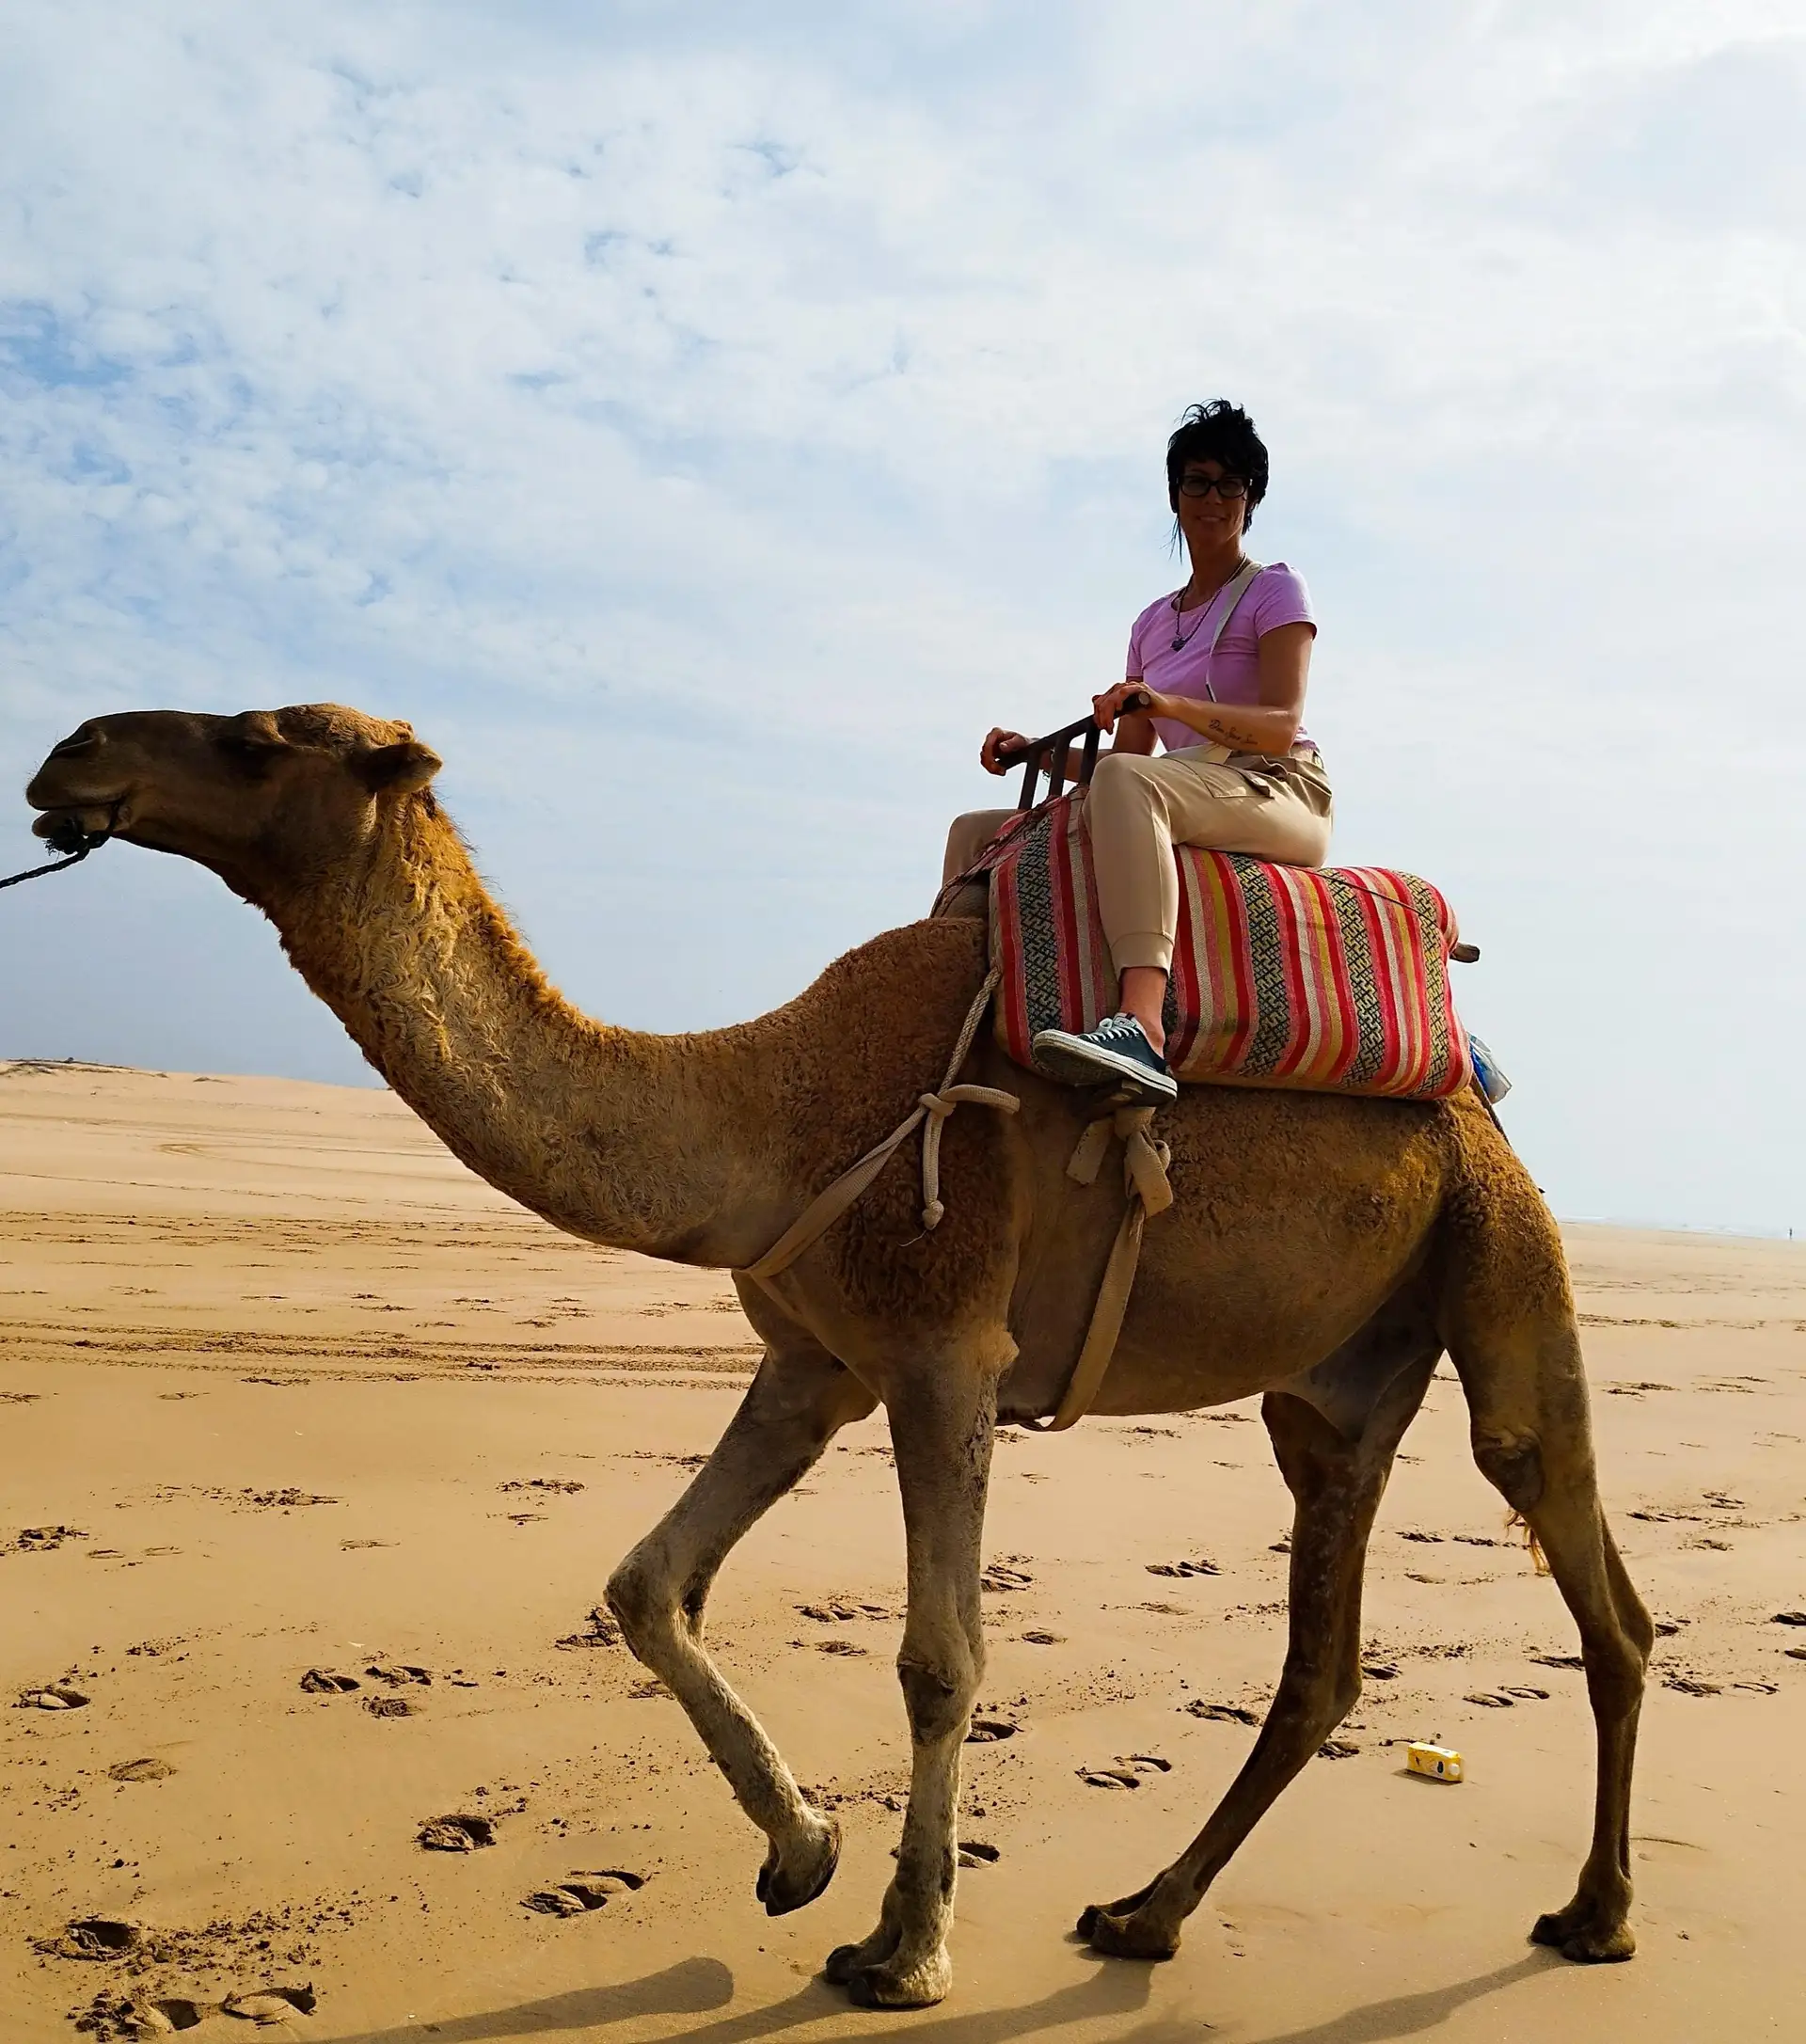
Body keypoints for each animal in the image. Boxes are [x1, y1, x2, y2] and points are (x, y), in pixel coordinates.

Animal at [25, 702, 1652, 2011]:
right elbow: (646, 1582)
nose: (68, 755)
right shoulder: (814, 1362)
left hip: (1498, 1247)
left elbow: (942, 1656)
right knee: (1323, 1651)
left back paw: (1595, 1914)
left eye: (257, 738)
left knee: (1592, 1574)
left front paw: (906, 1947)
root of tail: (1472, 1090)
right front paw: (801, 1855)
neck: (776, 1109)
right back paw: (1144, 1915)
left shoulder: (942, 1348)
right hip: (1334, 1382)